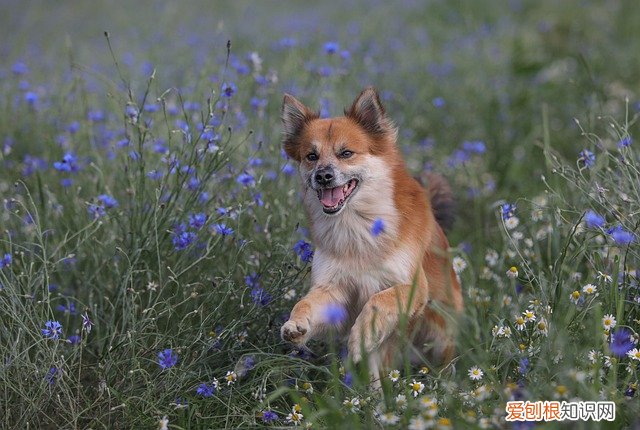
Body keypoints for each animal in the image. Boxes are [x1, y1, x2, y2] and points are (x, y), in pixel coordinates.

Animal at [278, 87, 462, 380]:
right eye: (311, 156)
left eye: (346, 153)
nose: (323, 176)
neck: (357, 227)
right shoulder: (333, 288)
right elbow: (306, 303)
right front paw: (296, 324)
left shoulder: (412, 287)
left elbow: (378, 300)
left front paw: (363, 335)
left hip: (438, 334)